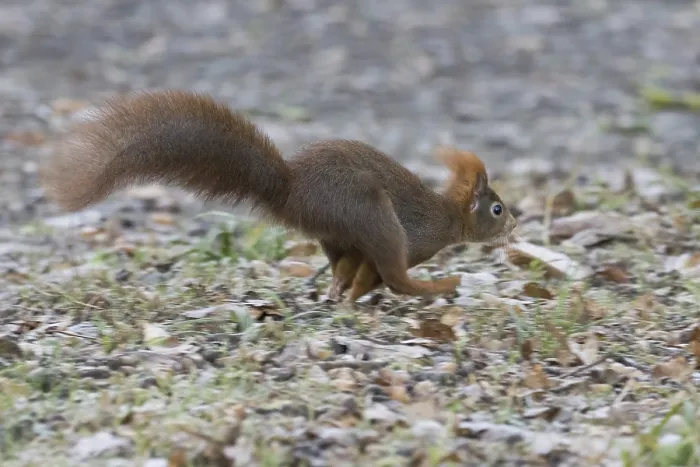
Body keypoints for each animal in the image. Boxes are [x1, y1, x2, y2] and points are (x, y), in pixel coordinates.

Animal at [41, 90, 517, 302]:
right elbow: (380, 273)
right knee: (392, 272)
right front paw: (361, 296)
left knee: (341, 265)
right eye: (496, 208)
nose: (514, 225)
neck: (449, 217)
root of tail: (292, 190)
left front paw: (348, 297)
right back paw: (434, 286)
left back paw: (338, 291)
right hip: (370, 214)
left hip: (341, 231)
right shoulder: (415, 238)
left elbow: (360, 273)